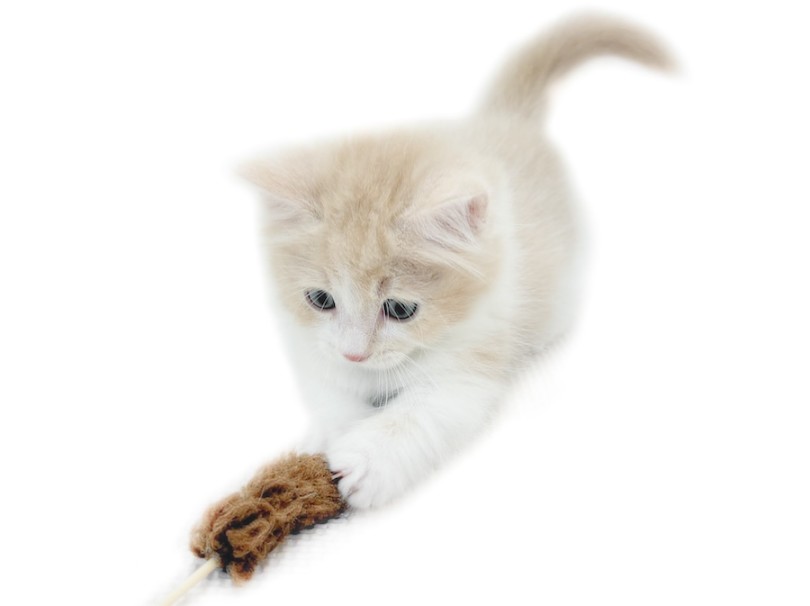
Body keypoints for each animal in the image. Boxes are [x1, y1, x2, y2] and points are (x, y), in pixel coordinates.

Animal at [241, 14, 671, 509]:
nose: (355, 353)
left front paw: (366, 461)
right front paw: (329, 434)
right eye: (320, 299)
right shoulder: (312, 343)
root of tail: (505, 118)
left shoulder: (473, 358)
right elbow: (330, 386)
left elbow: (424, 411)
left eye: (400, 309)